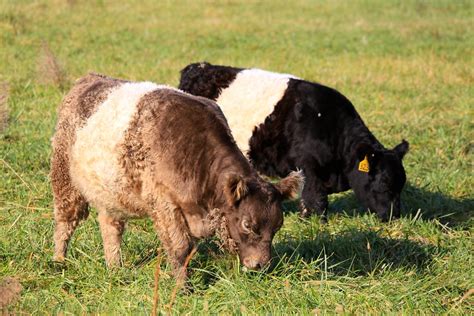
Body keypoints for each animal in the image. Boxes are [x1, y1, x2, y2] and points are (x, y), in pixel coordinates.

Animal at [51, 73, 302, 276]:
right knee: (65, 221)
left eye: (278, 225)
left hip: (112, 192)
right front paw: (184, 289)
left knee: (110, 226)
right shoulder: (165, 205)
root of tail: (88, 79)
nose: (261, 265)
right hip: (64, 178)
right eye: (247, 224)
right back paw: (59, 260)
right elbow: (181, 249)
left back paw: (115, 269)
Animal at [180, 61, 410, 220]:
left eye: (402, 183)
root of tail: (199, 67)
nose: (394, 216)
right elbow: (316, 200)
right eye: (384, 182)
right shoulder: (308, 167)